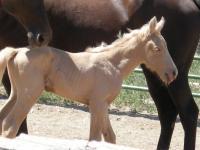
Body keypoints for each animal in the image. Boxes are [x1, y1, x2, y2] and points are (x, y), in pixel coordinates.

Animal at [0, 0, 200, 149]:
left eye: (166, 45)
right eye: (157, 48)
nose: (172, 72)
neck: (111, 63)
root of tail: (17, 51)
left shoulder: (103, 105)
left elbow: (109, 138)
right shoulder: (97, 104)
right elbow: (95, 138)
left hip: (17, 94)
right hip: (28, 94)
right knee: (10, 126)